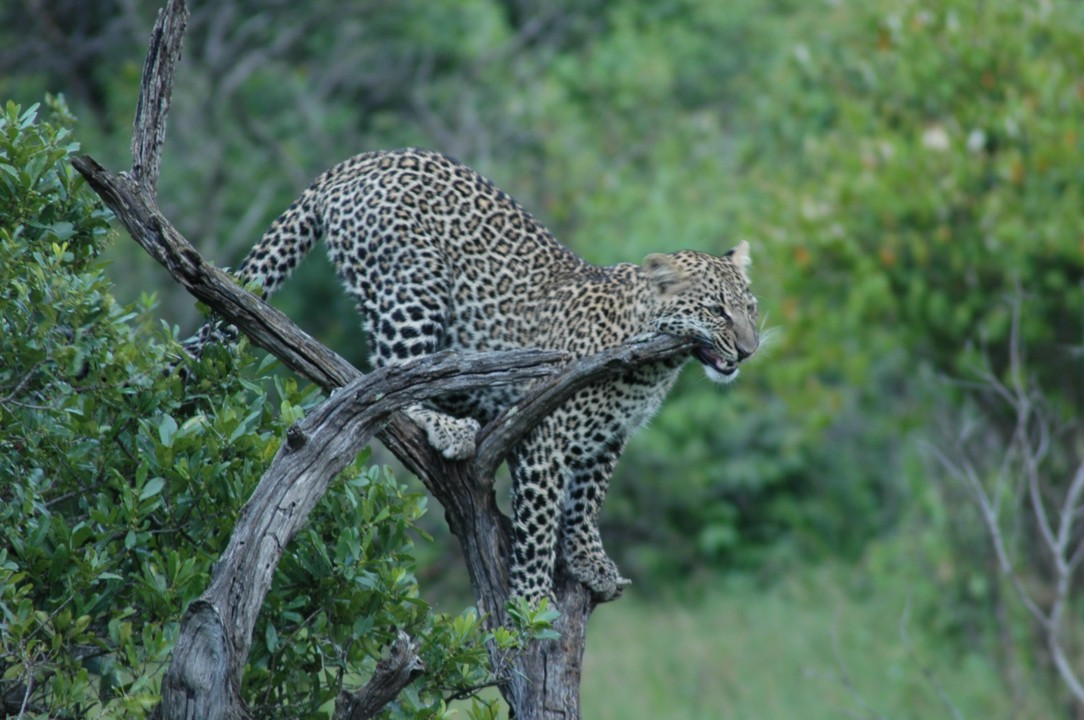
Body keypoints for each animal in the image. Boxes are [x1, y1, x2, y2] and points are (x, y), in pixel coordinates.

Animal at [187, 148, 760, 604]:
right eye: (716, 311)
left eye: (751, 307)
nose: (750, 350)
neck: (653, 365)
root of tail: (362, 159)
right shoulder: (544, 438)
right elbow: (539, 526)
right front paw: (531, 601)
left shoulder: (607, 439)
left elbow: (585, 504)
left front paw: (589, 562)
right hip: (413, 287)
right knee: (392, 375)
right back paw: (447, 425)